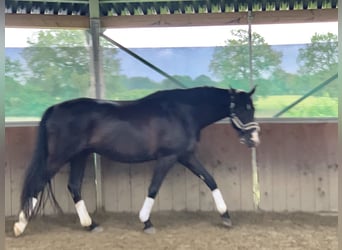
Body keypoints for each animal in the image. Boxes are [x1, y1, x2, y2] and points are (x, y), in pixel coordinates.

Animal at [12, 86, 260, 236]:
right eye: (241, 109)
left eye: (252, 108)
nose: (254, 139)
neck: (183, 112)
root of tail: (54, 109)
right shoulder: (168, 157)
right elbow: (154, 188)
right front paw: (146, 222)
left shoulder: (185, 156)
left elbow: (210, 180)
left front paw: (226, 216)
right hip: (60, 157)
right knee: (37, 184)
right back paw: (19, 226)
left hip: (79, 156)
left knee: (73, 186)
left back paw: (91, 225)